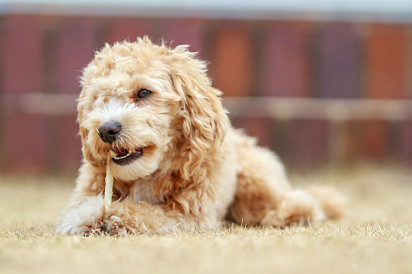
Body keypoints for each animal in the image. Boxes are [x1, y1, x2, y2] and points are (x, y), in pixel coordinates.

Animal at [55, 37, 344, 235]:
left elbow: (140, 211)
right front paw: (87, 214)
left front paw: (100, 213)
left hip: (253, 178)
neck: (149, 173)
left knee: (298, 202)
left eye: (144, 92)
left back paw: (293, 213)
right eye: (98, 99)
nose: (106, 129)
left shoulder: (189, 214)